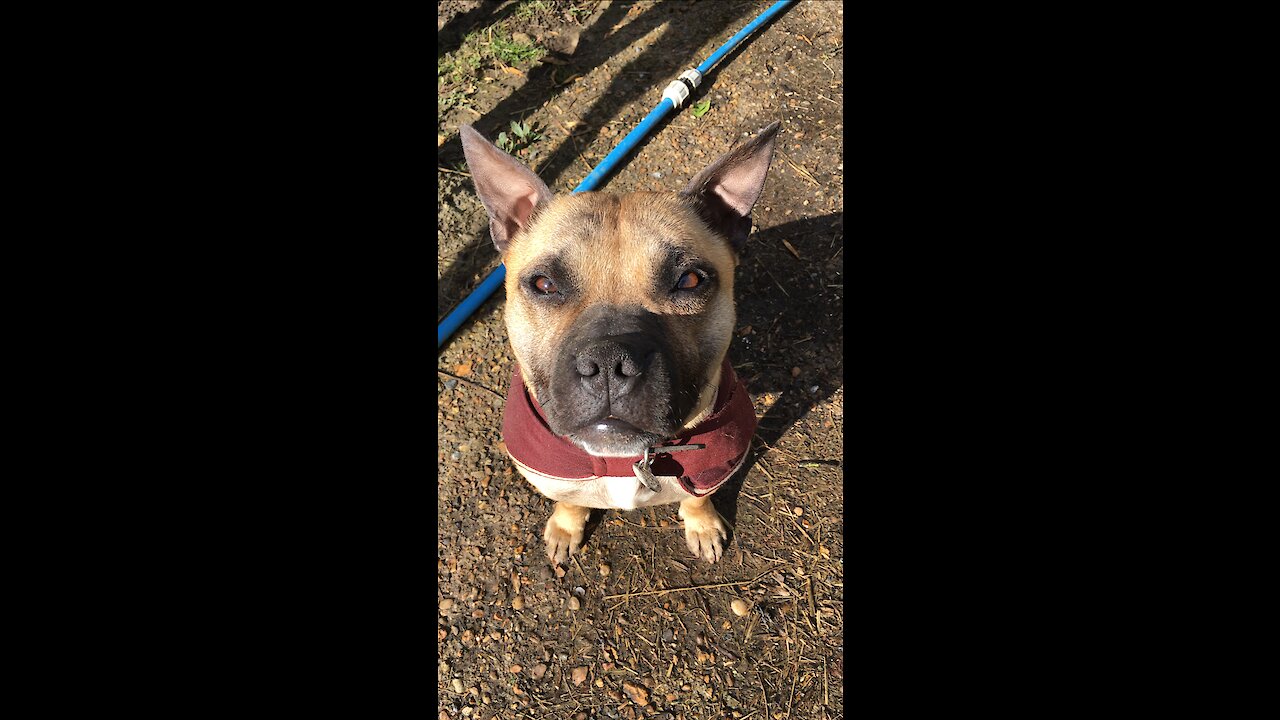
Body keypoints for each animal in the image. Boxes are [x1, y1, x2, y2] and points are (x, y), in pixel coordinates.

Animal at [460, 119, 778, 566]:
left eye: (689, 280)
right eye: (544, 284)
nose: (609, 362)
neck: (626, 460)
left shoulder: (714, 467)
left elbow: (697, 498)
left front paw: (701, 523)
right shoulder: (556, 475)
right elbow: (570, 499)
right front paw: (566, 526)